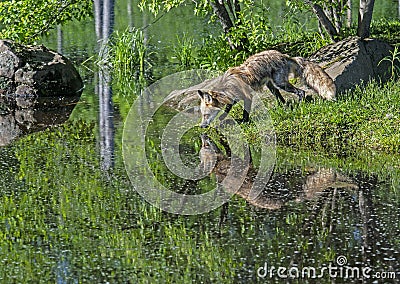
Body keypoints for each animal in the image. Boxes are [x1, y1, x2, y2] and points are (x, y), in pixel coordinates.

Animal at [197, 50, 334, 127]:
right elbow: (228, 107)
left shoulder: (247, 96)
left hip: (281, 83)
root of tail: (284, 55)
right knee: (280, 98)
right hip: (272, 85)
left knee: (301, 92)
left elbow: (245, 112)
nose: (201, 126)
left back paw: (299, 104)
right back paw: (283, 107)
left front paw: (244, 122)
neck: (227, 87)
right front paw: (223, 117)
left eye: (206, 115)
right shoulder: (233, 97)